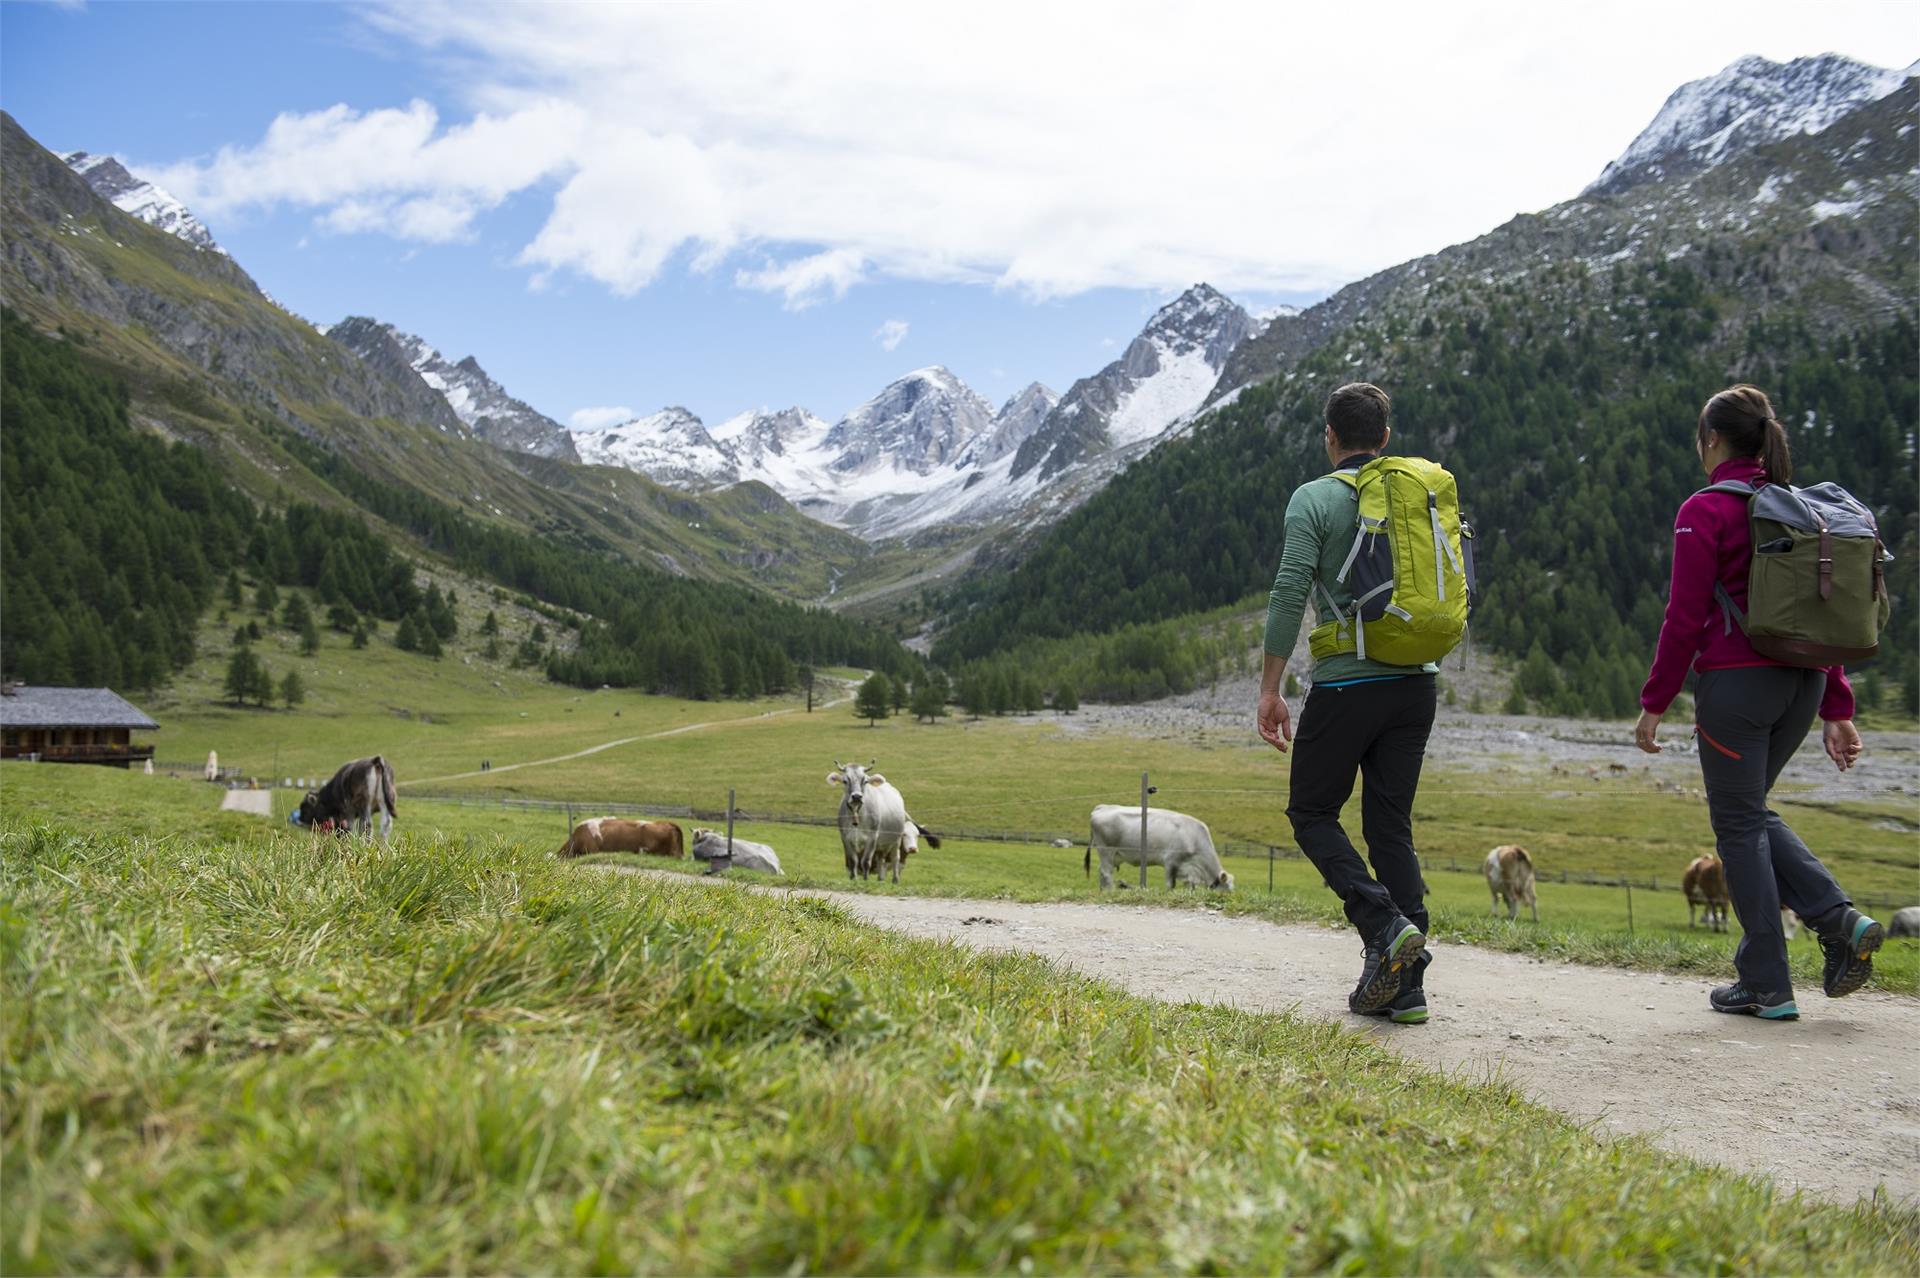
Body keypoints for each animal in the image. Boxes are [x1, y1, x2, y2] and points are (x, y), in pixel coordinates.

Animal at [1082, 802, 1228, 890]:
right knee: (1106, 873)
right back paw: (1110, 891)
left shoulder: (1188, 869)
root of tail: (1102, 807)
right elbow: (1170, 884)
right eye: (1226, 890)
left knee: (1102, 872)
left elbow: (1189, 884)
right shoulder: (1171, 861)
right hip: (1106, 850)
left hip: (1111, 856)